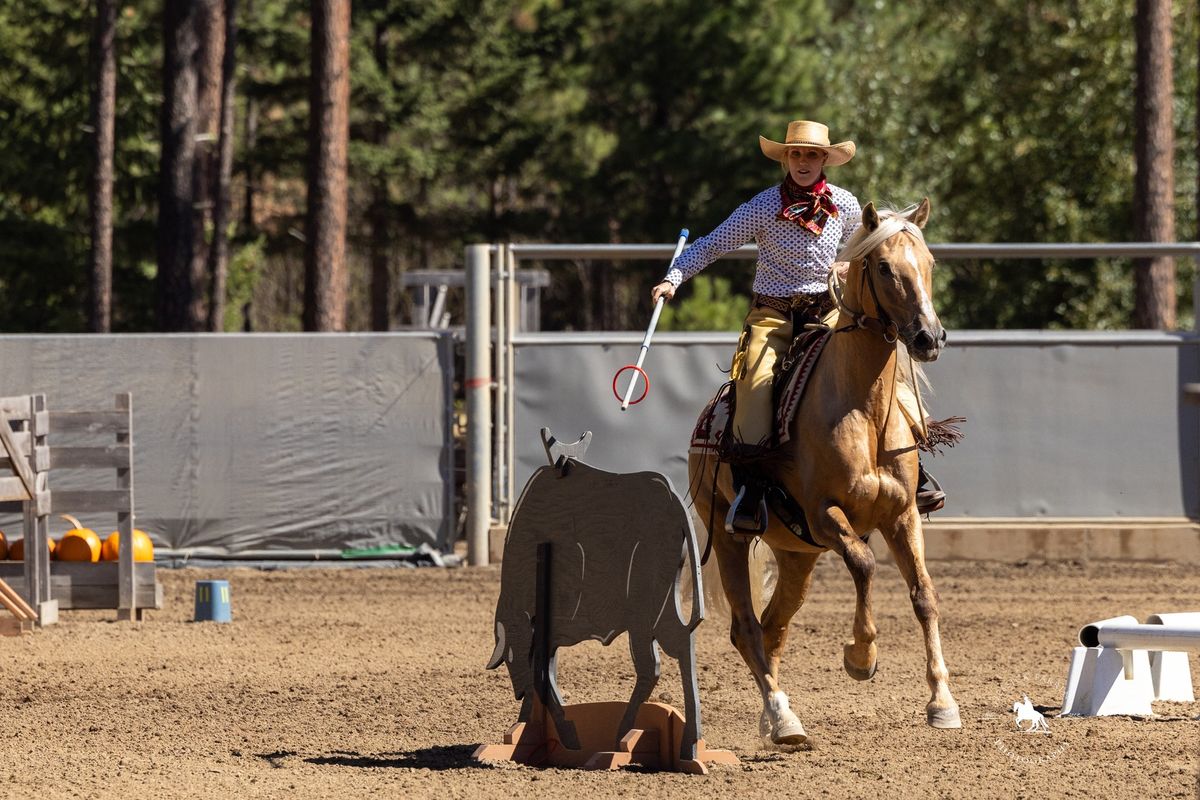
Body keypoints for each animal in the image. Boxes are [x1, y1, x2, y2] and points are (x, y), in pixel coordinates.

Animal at [691, 199, 960, 743]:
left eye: (929, 263)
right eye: (884, 267)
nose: (929, 337)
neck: (863, 410)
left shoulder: (903, 515)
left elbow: (924, 594)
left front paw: (942, 701)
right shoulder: (824, 514)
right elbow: (864, 564)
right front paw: (861, 656)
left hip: (797, 556)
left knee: (773, 626)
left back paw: (772, 715)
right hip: (728, 537)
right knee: (746, 627)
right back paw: (783, 719)